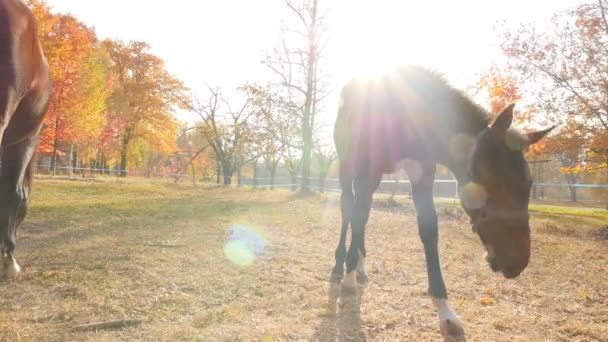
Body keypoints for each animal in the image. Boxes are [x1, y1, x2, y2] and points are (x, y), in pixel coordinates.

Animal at [330, 65, 552, 340]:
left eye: (529, 183)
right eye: (489, 180)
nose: (516, 263)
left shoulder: (422, 172)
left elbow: (428, 229)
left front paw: (446, 313)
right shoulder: (365, 168)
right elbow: (356, 216)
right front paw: (347, 277)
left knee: (363, 210)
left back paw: (360, 266)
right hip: (349, 167)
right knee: (347, 208)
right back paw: (340, 266)